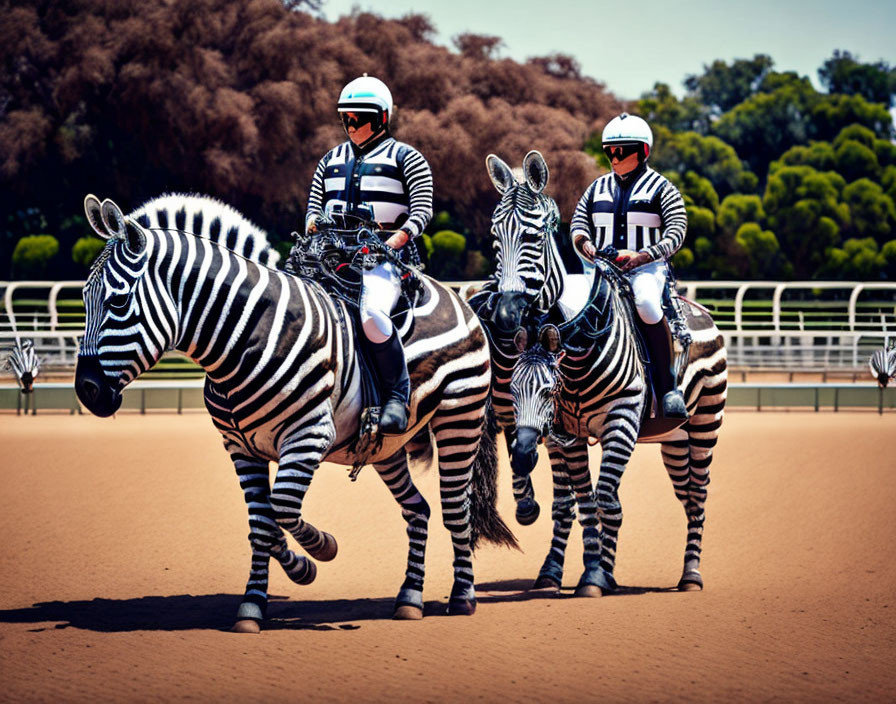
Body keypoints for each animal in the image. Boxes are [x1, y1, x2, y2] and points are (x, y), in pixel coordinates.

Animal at [77, 192, 520, 632]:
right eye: (83, 299)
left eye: (118, 301)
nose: (86, 390)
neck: (248, 336)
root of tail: (458, 298)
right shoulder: (240, 448)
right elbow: (262, 524)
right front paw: (256, 603)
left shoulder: (308, 437)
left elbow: (284, 509)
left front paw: (320, 552)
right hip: (386, 448)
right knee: (419, 510)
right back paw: (409, 597)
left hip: (458, 421)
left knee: (455, 509)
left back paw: (462, 596)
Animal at [480, 153, 724, 592]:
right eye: (494, 234)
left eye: (532, 237)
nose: (506, 315)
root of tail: (698, 310)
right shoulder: (562, 432)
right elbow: (574, 503)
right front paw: (560, 571)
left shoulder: (621, 419)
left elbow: (607, 500)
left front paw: (596, 574)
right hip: (674, 440)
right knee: (685, 494)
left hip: (705, 426)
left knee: (697, 497)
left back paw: (691, 575)